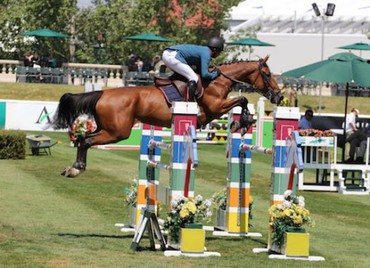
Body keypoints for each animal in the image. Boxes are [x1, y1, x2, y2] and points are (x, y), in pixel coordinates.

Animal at [52, 55, 282, 177]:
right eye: (267, 74)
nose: (279, 95)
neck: (216, 81)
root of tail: (102, 93)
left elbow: (240, 100)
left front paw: (243, 121)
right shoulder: (215, 108)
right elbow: (241, 100)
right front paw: (244, 120)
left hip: (107, 128)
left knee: (82, 138)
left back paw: (73, 168)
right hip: (118, 132)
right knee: (86, 141)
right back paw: (77, 169)